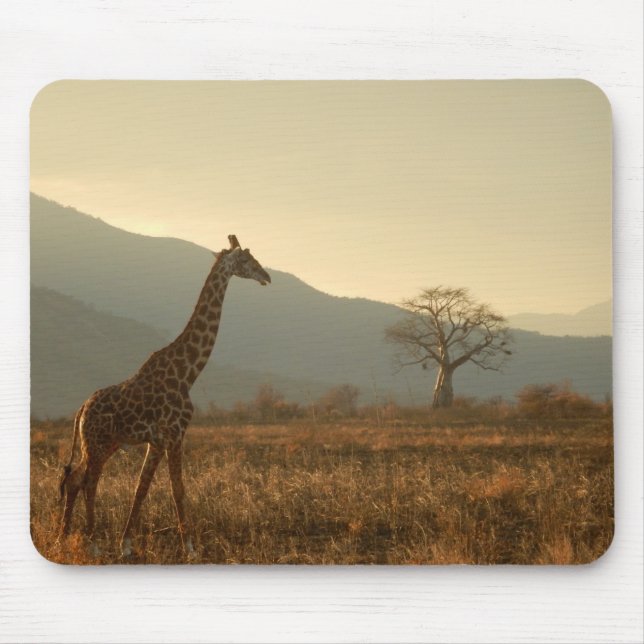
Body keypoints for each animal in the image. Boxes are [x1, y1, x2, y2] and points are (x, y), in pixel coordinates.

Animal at [58, 234, 270, 558]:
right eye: (247, 259)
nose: (266, 276)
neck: (188, 373)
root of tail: (82, 409)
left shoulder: (156, 441)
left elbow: (141, 488)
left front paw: (126, 545)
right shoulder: (174, 433)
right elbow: (178, 489)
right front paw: (191, 548)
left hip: (99, 444)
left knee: (74, 479)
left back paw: (63, 538)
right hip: (97, 443)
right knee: (88, 481)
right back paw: (91, 543)